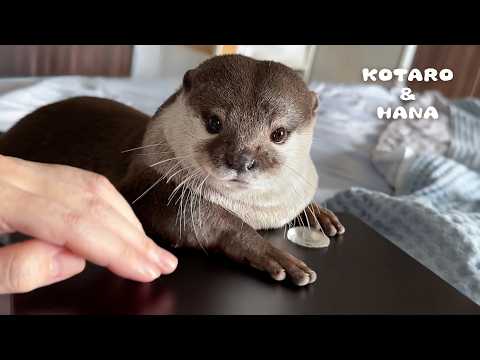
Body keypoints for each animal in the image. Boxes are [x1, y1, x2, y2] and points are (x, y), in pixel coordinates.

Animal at [0, 54, 344, 286]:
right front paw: (270, 252)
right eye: (214, 122)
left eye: (279, 133)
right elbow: (213, 220)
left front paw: (318, 214)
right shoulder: (148, 184)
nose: (240, 160)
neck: (257, 213)